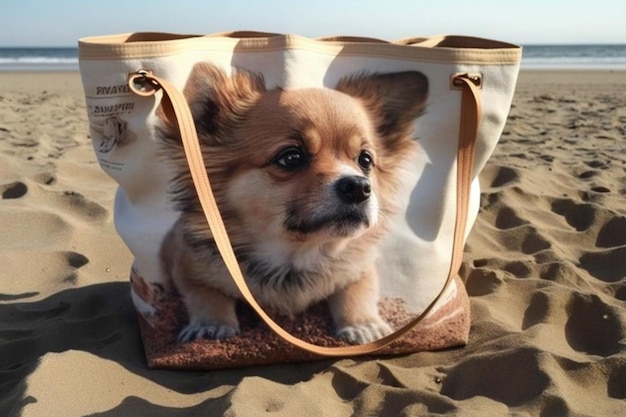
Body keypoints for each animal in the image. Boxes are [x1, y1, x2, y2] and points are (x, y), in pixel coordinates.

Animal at [158, 61, 426, 342]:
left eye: (365, 160)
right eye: (291, 157)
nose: (358, 187)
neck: (296, 258)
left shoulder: (361, 268)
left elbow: (356, 290)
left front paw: (363, 324)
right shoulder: (188, 265)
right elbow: (205, 294)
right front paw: (211, 324)